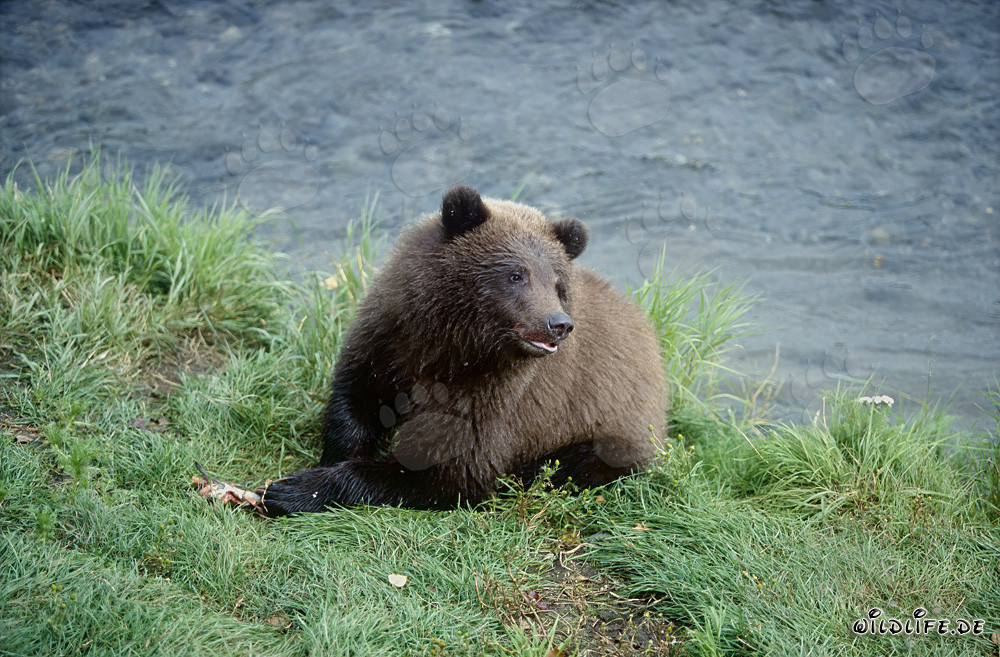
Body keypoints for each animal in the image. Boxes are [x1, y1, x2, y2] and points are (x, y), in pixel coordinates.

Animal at [251, 185, 668, 516]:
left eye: (557, 282)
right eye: (516, 274)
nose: (558, 323)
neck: (454, 340)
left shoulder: (493, 396)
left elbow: (449, 468)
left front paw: (294, 490)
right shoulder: (389, 339)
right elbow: (354, 398)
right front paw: (333, 455)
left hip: (613, 428)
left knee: (580, 464)